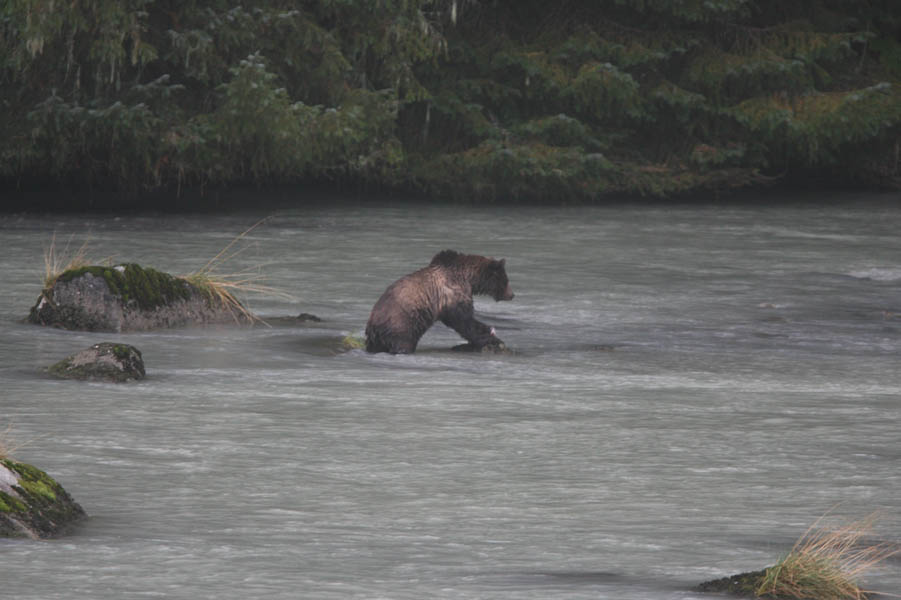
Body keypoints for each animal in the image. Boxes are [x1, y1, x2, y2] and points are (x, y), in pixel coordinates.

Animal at [364, 250, 512, 354]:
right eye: (506, 280)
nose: (512, 294)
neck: (469, 278)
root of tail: (372, 325)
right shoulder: (453, 293)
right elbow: (464, 320)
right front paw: (491, 336)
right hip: (401, 323)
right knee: (403, 342)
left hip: (378, 337)